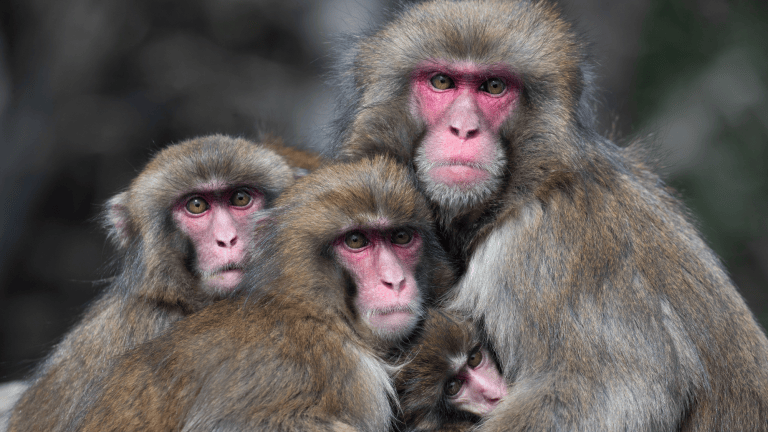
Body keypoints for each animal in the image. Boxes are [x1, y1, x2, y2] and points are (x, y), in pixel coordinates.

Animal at [332, 1, 768, 430]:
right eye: (442, 82)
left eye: (494, 86)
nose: (463, 129)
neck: (523, 189)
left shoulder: (539, 249)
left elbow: (617, 388)